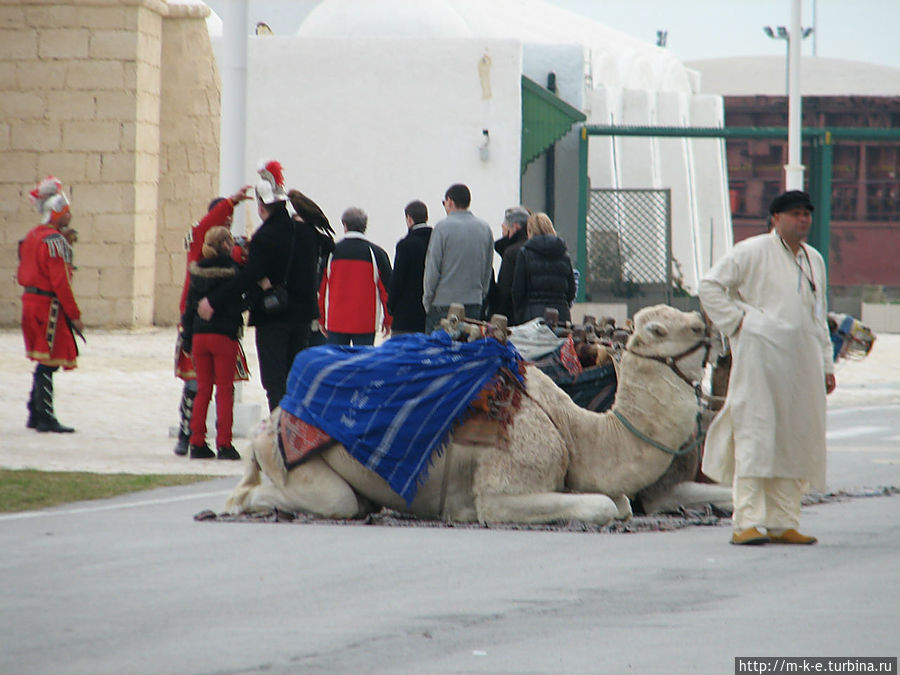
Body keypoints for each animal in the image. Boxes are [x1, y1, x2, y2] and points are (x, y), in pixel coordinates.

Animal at [225, 306, 732, 528]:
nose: (710, 326)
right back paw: (245, 504)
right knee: (330, 501)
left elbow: (622, 502)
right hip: (295, 463)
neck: (576, 430)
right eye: (663, 329)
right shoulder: (505, 491)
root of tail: (273, 422)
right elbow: (607, 507)